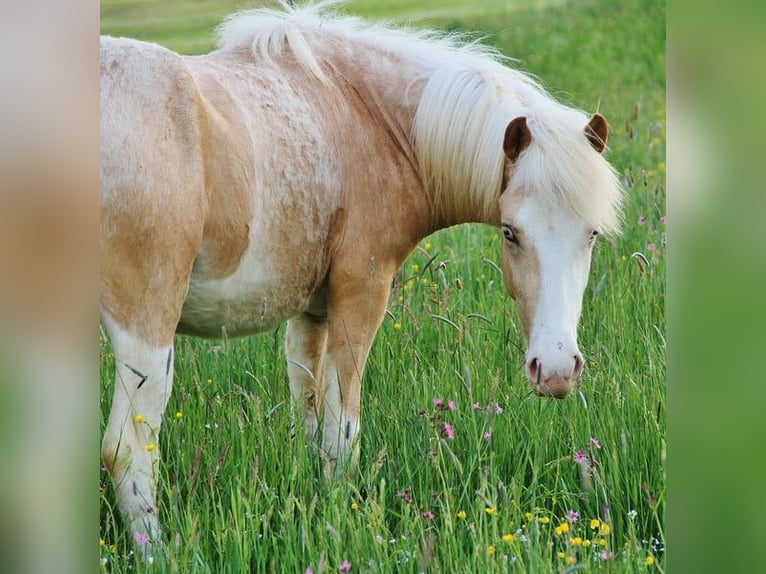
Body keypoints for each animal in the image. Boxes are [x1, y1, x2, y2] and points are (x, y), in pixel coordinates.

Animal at [100, 0, 623, 546]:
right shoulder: (361, 296)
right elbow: (342, 430)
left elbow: (309, 415)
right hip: (147, 329)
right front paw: (340, 518)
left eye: (591, 234)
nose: (558, 370)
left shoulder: (311, 313)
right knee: (127, 448)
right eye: (510, 232)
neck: (369, 118)